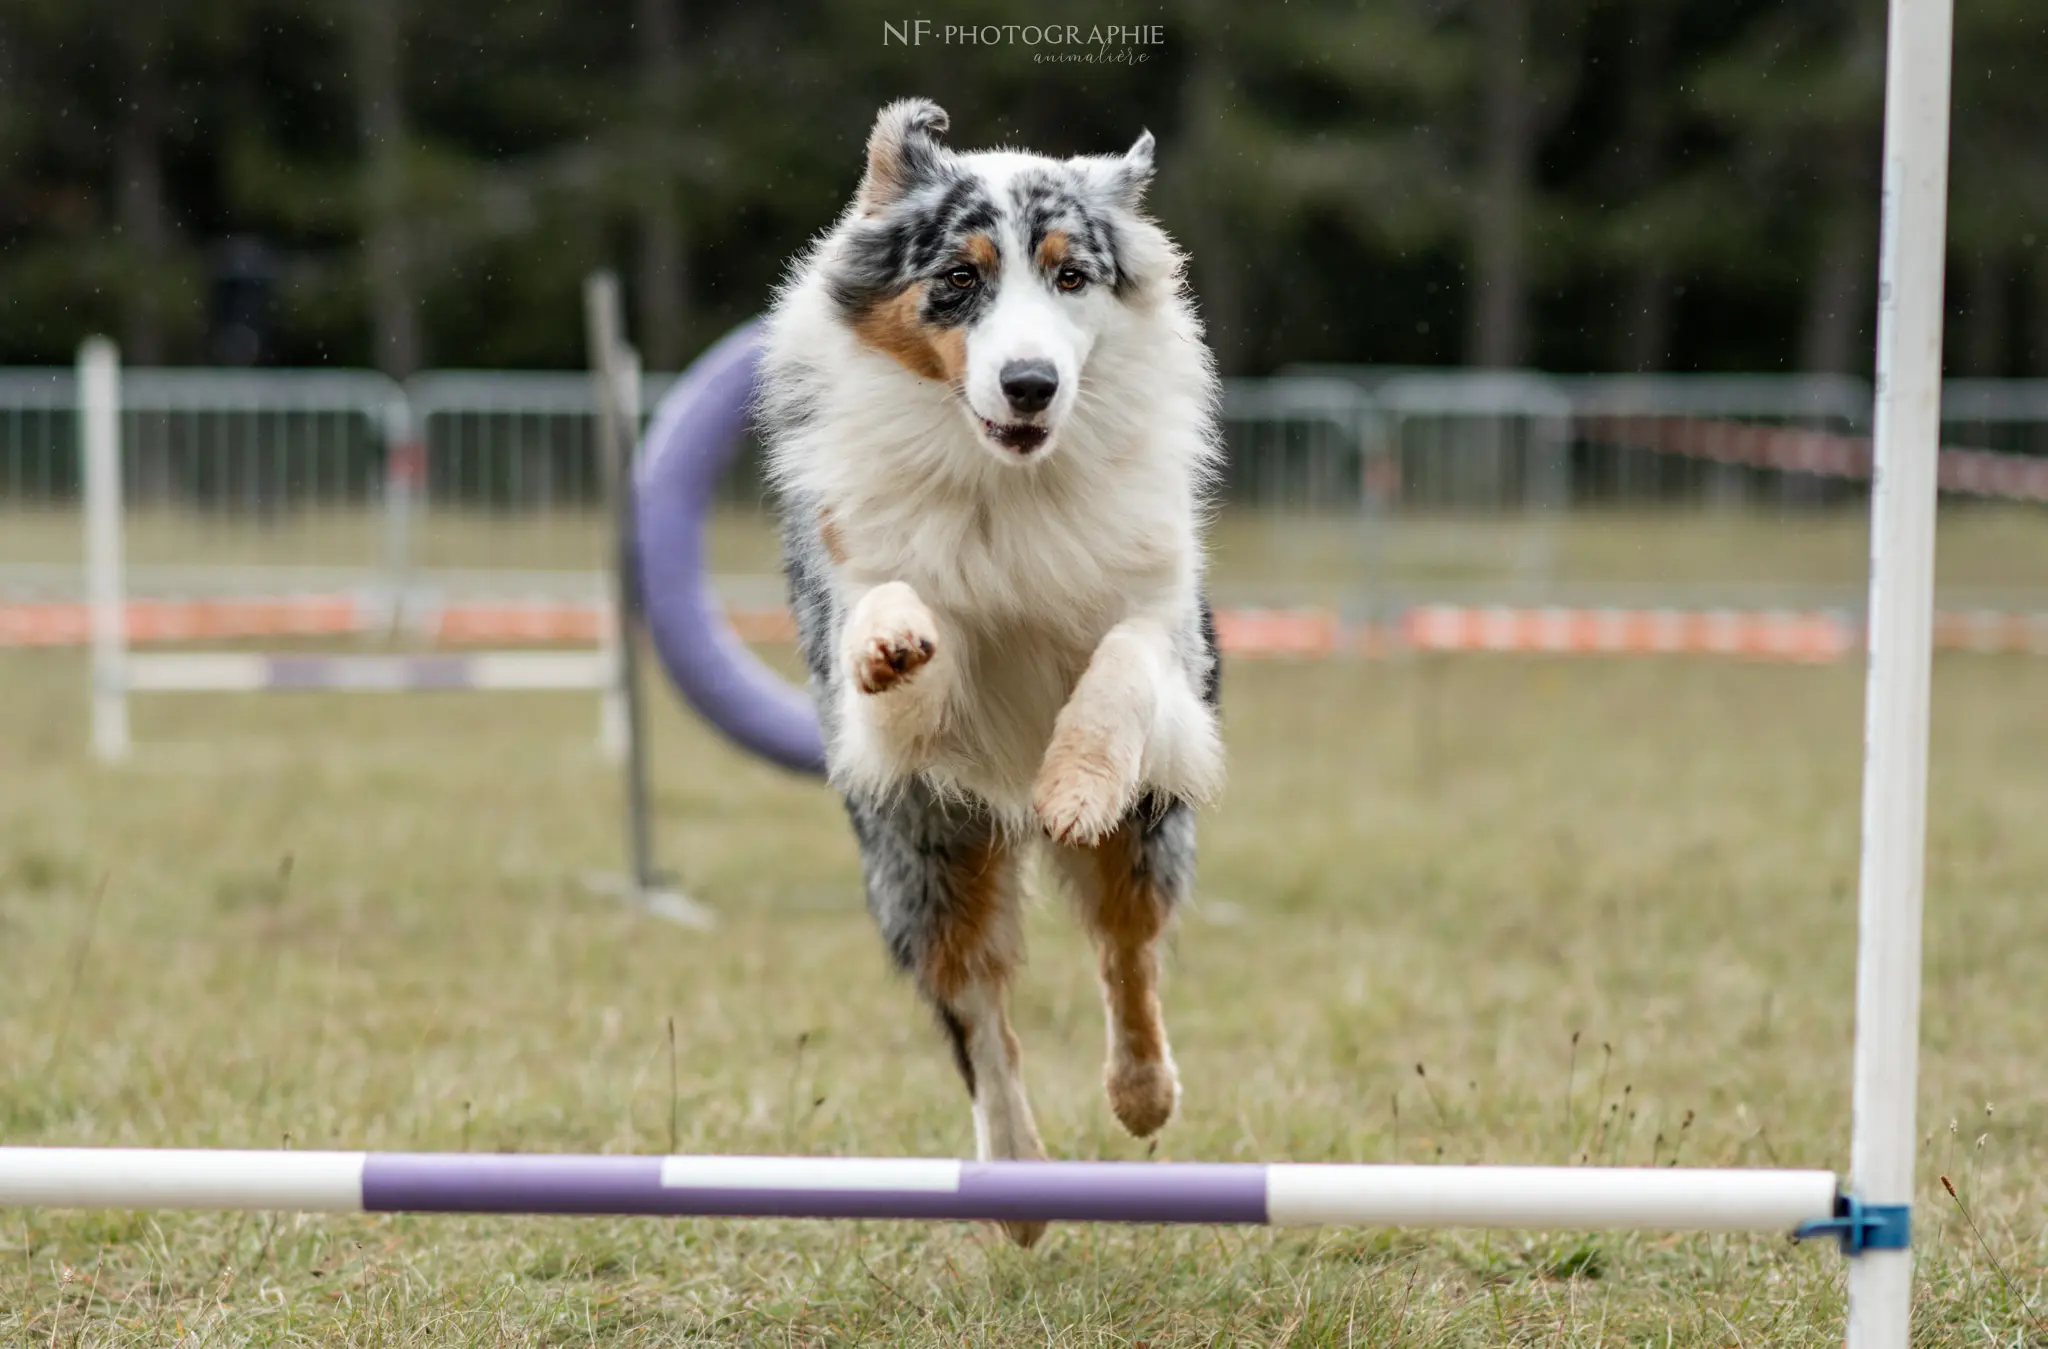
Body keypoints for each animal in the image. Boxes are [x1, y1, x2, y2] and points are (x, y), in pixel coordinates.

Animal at [761, 100, 1220, 1252]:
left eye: (1070, 275)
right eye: (960, 277)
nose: (1029, 384)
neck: (1007, 483)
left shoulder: (1166, 637)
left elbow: (1119, 665)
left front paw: (1076, 780)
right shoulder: (901, 714)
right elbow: (896, 616)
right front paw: (888, 639)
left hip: (1147, 837)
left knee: (1126, 952)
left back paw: (1142, 1092)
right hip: (920, 855)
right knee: (977, 1010)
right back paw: (1014, 1186)